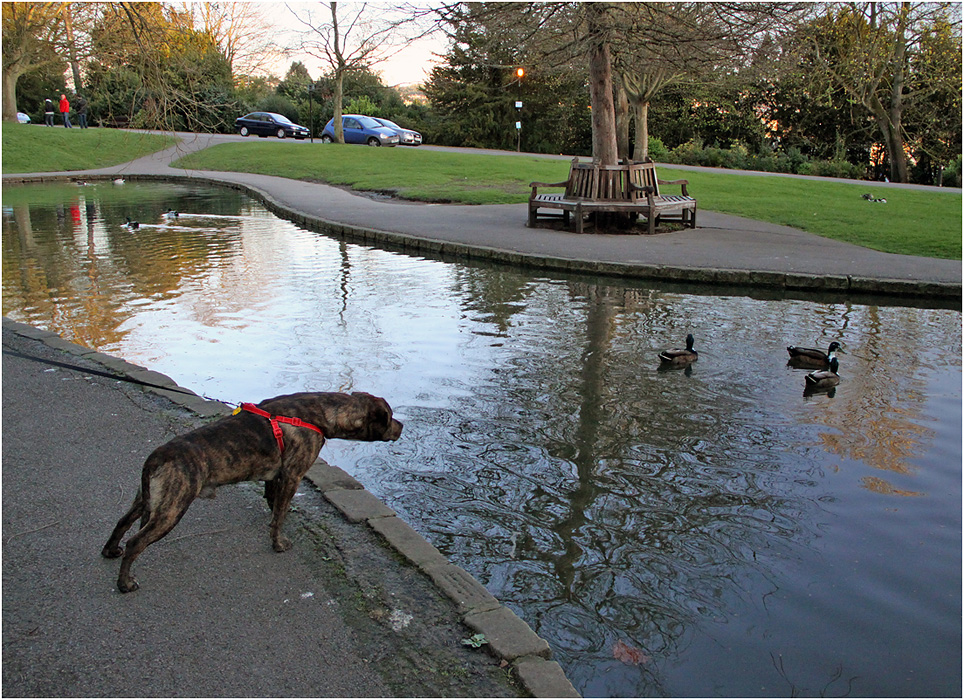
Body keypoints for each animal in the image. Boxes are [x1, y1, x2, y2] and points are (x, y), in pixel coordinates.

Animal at [103, 392, 404, 592]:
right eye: (390, 417)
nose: (402, 426)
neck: (320, 412)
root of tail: (157, 457)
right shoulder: (292, 476)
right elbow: (280, 514)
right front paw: (279, 543)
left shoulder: (275, 476)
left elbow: (274, 507)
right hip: (172, 507)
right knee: (136, 542)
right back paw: (125, 583)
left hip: (146, 499)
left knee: (122, 522)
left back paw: (110, 550)